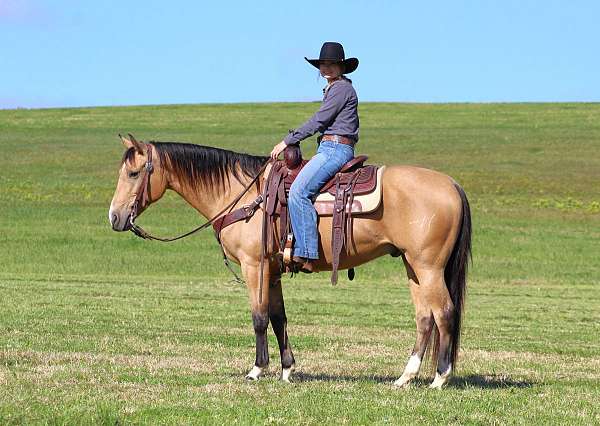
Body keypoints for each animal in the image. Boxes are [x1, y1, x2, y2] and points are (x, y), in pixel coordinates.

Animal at [110, 135, 472, 388]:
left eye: (134, 172)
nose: (115, 217)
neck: (246, 196)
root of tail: (452, 184)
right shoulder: (272, 271)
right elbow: (278, 317)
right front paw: (287, 370)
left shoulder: (254, 265)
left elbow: (258, 317)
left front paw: (257, 369)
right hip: (413, 267)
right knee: (424, 317)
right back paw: (405, 377)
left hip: (428, 267)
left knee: (444, 312)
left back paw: (440, 378)